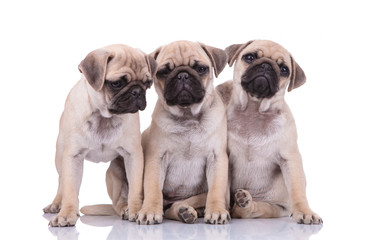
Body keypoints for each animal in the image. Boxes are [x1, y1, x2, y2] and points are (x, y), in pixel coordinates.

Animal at [43, 44, 157, 227]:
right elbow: (70, 190)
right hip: (60, 157)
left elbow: (135, 187)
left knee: (119, 201)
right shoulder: (73, 157)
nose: (137, 92)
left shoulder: (133, 156)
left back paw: (126, 209)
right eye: (116, 83)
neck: (104, 117)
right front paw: (66, 214)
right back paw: (56, 204)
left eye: (147, 83)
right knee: (62, 183)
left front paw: (135, 210)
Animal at [217, 39, 324, 225]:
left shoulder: (290, 158)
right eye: (249, 57)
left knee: (251, 211)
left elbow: (297, 189)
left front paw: (305, 211)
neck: (254, 110)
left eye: (284, 70)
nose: (266, 65)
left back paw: (245, 203)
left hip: (274, 208)